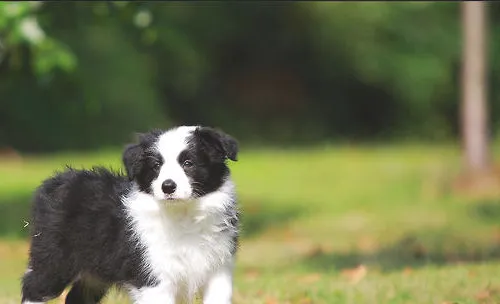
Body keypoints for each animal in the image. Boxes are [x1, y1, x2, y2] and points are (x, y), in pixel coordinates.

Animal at [22, 126, 241, 304]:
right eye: (156, 166)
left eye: (189, 163)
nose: (168, 186)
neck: (184, 214)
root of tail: (55, 181)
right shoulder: (154, 276)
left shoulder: (218, 270)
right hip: (55, 257)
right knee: (34, 287)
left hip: (95, 271)